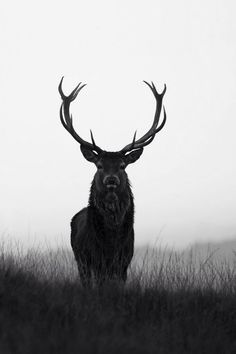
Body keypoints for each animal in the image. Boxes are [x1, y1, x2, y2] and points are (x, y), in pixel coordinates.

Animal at [58, 78, 167, 284]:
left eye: (123, 165)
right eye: (99, 165)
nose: (111, 179)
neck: (111, 242)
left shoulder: (124, 262)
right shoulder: (94, 259)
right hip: (80, 260)